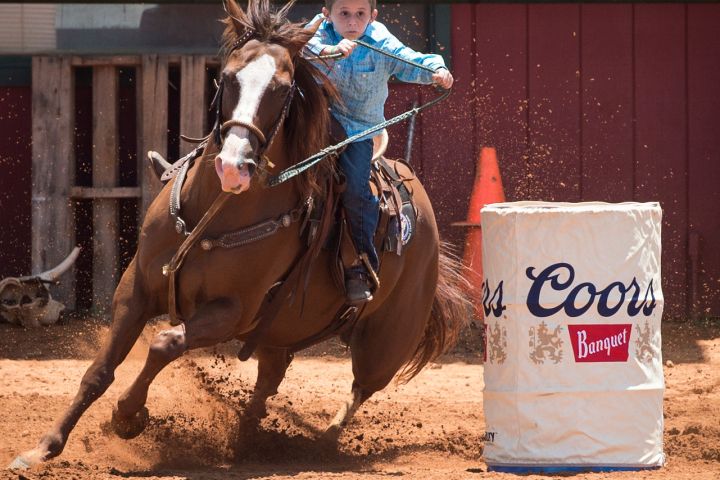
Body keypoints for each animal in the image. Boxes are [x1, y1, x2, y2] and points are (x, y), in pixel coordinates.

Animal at [12, 0, 470, 468]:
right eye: (228, 77)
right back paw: (245, 441)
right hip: (280, 331)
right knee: (269, 382)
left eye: (283, 89)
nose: (233, 166)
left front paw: (127, 416)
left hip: (385, 341)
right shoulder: (134, 288)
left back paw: (321, 441)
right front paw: (44, 447)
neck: (216, 213)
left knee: (361, 387)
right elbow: (100, 369)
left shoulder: (233, 311)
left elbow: (164, 343)